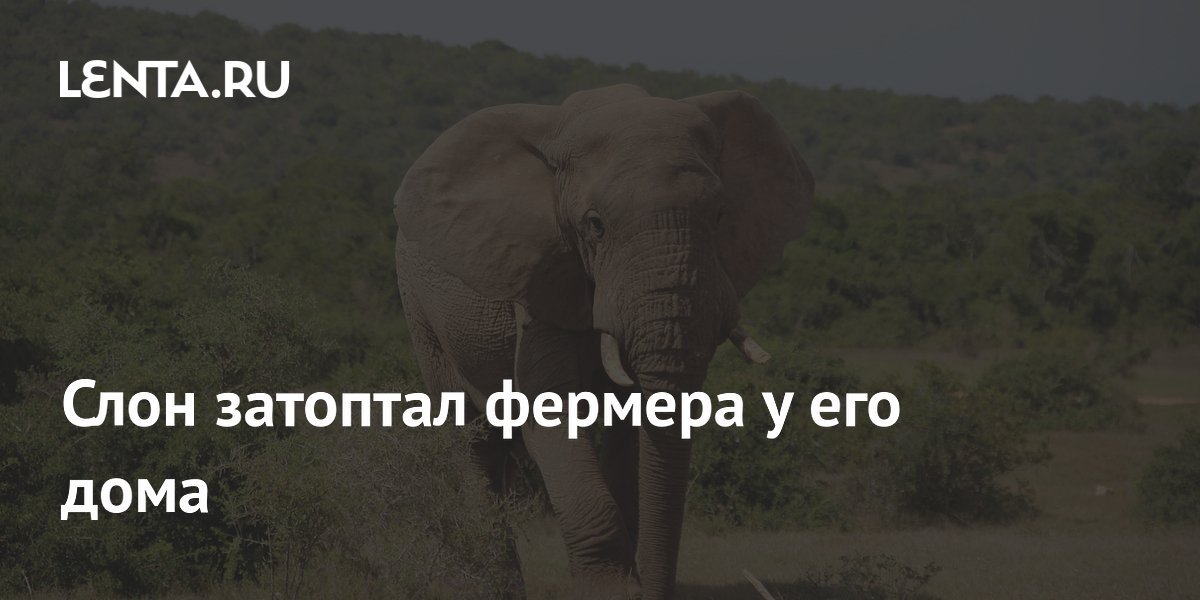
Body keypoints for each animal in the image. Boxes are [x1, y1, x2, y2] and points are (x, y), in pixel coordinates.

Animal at [393, 83, 813, 599]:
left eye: (718, 216)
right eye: (595, 225)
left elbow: (629, 430)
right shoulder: (540, 272)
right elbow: (548, 407)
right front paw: (612, 589)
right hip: (420, 308)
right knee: (473, 440)